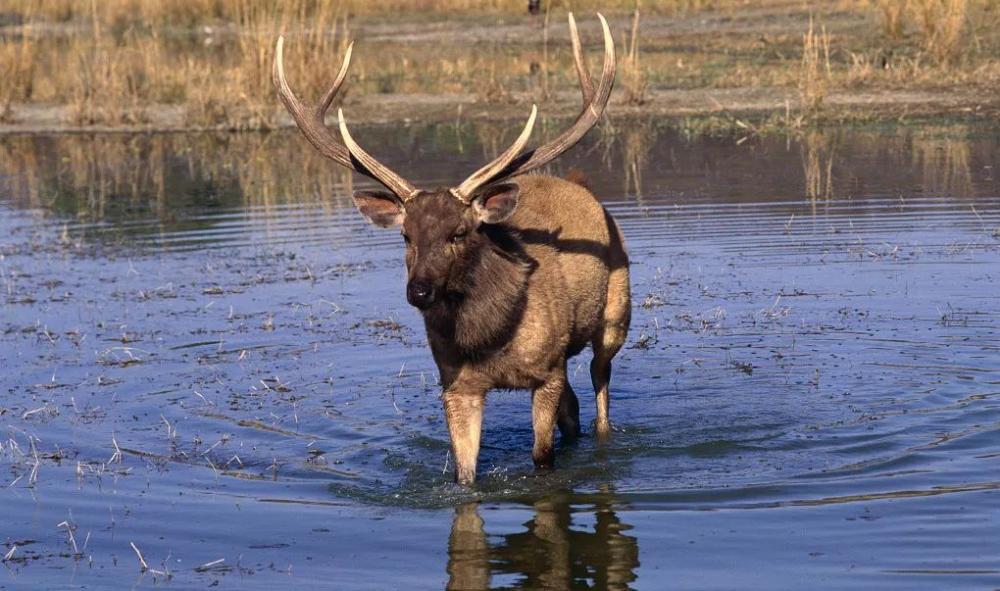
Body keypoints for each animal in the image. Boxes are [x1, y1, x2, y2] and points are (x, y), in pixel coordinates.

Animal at [272, 13, 632, 486]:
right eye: (406, 235)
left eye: (459, 233)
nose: (419, 290)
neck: (491, 342)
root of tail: (580, 184)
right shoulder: (455, 384)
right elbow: (463, 474)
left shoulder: (548, 370)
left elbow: (542, 457)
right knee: (573, 410)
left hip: (615, 314)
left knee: (600, 389)